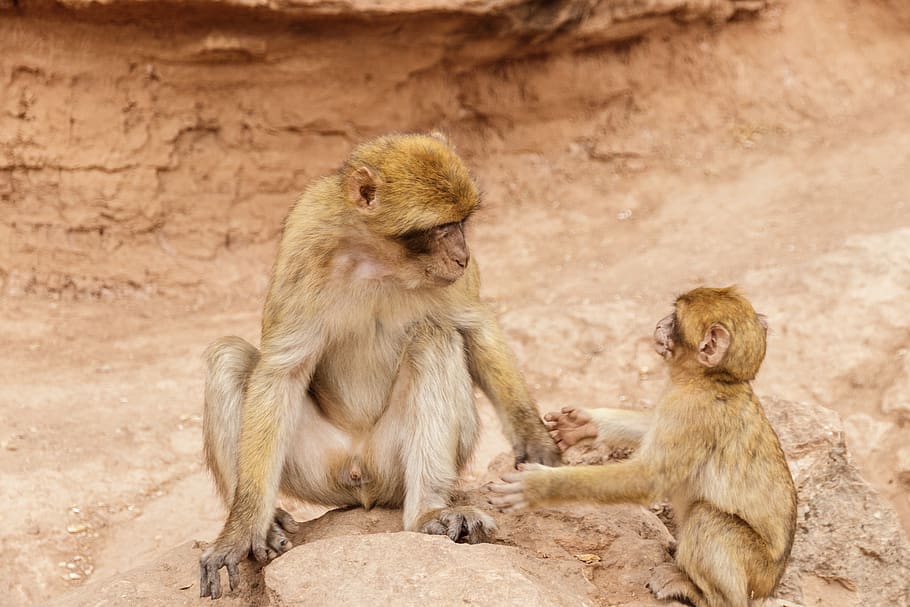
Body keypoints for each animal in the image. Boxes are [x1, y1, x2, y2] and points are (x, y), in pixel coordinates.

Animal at [198, 132, 561, 599]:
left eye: (461, 223)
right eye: (440, 228)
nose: (462, 256)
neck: (378, 260)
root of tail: (360, 474)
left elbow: (474, 328)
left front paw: (536, 441)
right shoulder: (304, 243)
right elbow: (281, 373)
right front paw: (241, 529)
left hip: (391, 469)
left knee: (434, 337)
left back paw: (427, 514)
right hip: (320, 468)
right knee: (228, 357)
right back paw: (269, 520)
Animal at [490, 286, 797, 607]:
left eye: (674, 317)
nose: (660, 322)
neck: (711, 380)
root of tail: (770, 585)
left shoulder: (692, 413)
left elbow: (649, 478)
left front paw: (536, 486)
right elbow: (650, 428)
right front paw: (583, 425)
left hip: (754, 572)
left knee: (708, 519)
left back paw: (695, 590)